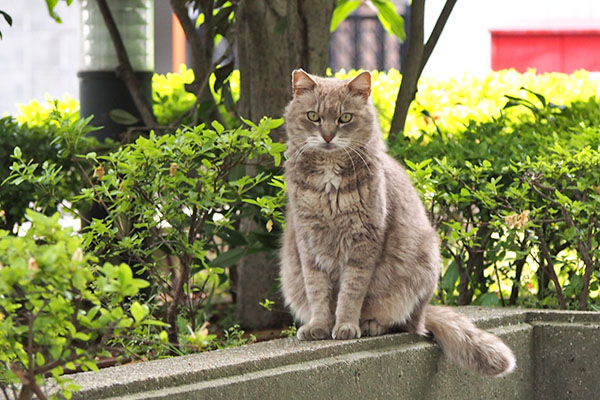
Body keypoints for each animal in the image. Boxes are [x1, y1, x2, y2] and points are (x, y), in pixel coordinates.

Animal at [282, 68, 516, 376]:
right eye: (313, 116)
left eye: (345, 117)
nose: (328, 136)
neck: (329, 185)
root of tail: (425, 313)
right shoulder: (308, 243)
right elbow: (317, 291)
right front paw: (319, 326)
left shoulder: (364, 242)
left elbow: (351, 292)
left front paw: (345, 325)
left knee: (405, 324)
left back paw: (372, 324)